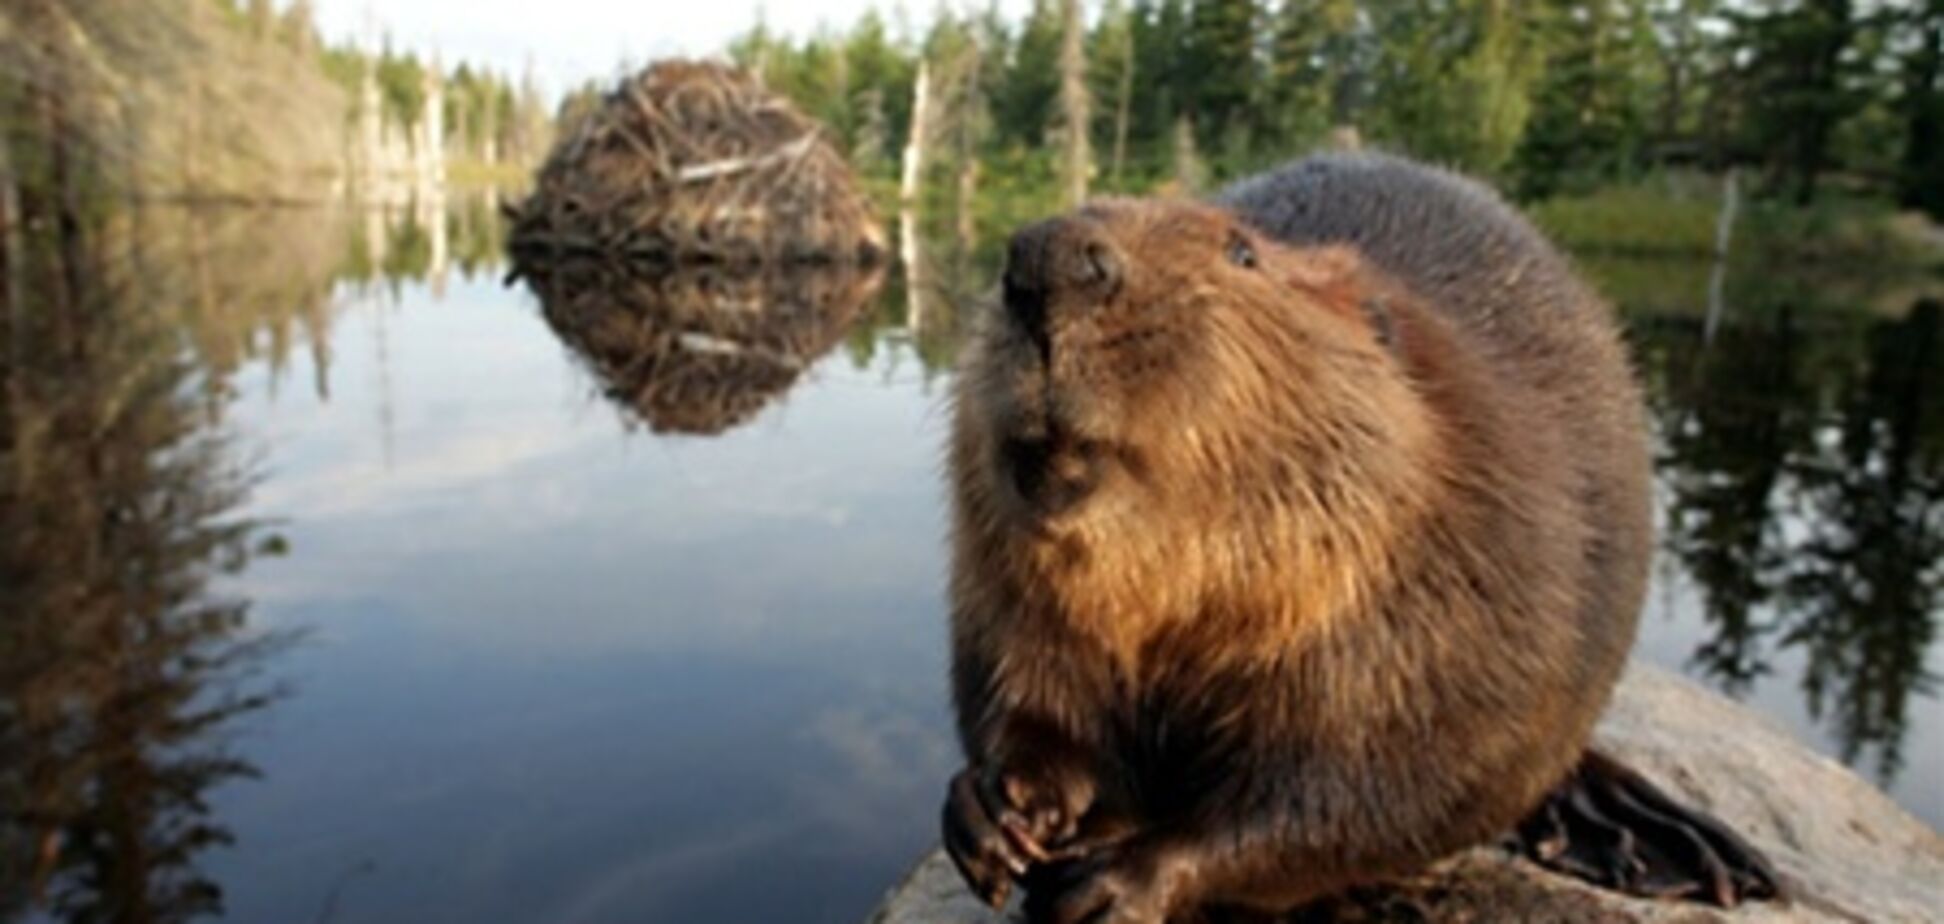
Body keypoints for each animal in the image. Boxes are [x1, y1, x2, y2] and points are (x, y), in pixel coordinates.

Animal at [937, 153, 1780, 924]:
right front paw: (997, 810)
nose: (1046, 260)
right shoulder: (1007, 588)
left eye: (1241, 251)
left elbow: (1374, 788)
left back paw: (1669, 845)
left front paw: (1118, 883)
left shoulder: (1460, 587)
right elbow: (1023, 689)